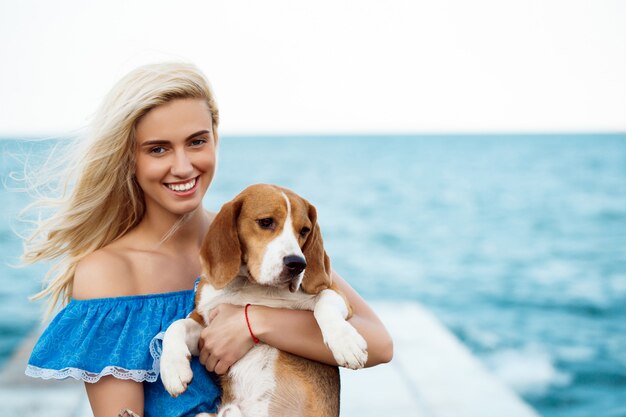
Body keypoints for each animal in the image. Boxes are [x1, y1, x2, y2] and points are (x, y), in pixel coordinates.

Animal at [160, 184, 366, 414]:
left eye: (304, 230)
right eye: (266, 222)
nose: (298, 264)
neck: (254, 286)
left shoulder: (335, 292)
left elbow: (325, 304)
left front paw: (346, 343)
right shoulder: (206, 326)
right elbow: (176, 326)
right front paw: (172, 369)